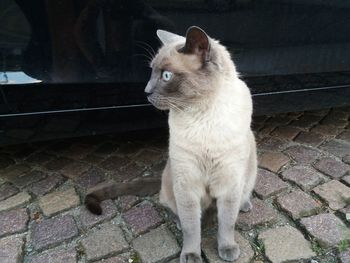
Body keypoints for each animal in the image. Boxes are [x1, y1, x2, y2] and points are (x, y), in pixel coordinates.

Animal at [83, 25, 256, 263]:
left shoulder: (229, 184)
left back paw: (245, 205)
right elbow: (192, 228)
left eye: (166, 75)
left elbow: (227, 223)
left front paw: (227, 249)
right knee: (172, 208)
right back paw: (179, 221)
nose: (146, 91)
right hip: (172, 181)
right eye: (152, 72)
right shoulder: (187, 185)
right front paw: (191, 255)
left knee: (241, 196)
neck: (202, 115)